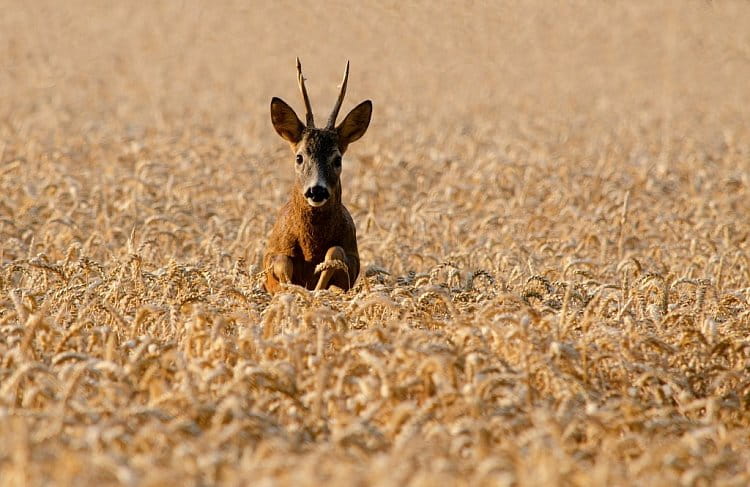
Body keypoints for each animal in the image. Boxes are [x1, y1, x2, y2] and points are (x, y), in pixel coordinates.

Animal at [264, 57, 374, 294]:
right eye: (299, 157)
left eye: (337, 159)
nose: (317, 190)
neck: (310, 248)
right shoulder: (270, 257)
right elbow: (282, 262)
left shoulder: (353, 260)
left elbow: (335, 253)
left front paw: (316, 291)